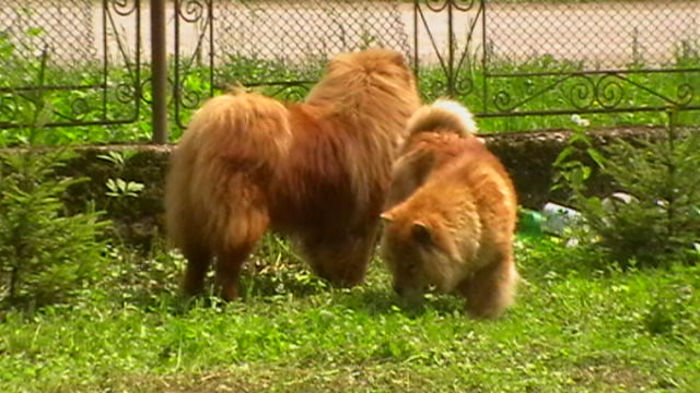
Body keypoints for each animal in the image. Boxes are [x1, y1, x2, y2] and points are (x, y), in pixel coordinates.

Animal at [165, 49, 418, 300]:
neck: (360, 110)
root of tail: (211, 125)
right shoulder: (360, 217)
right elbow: (354, 253)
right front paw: (350, 283)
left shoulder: (323, 219)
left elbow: (324, 252)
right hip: (240, 212)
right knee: (227, 259)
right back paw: (230, 296)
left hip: (190, 209)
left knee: (197, 258)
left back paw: (190, 292)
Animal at [378, 99, 520, 316]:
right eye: (392, 261)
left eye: (412, 266)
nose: (398, 289)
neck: (475, 206)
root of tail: (428, 132)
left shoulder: (496, 259)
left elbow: (489, 288)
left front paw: (481, 313)